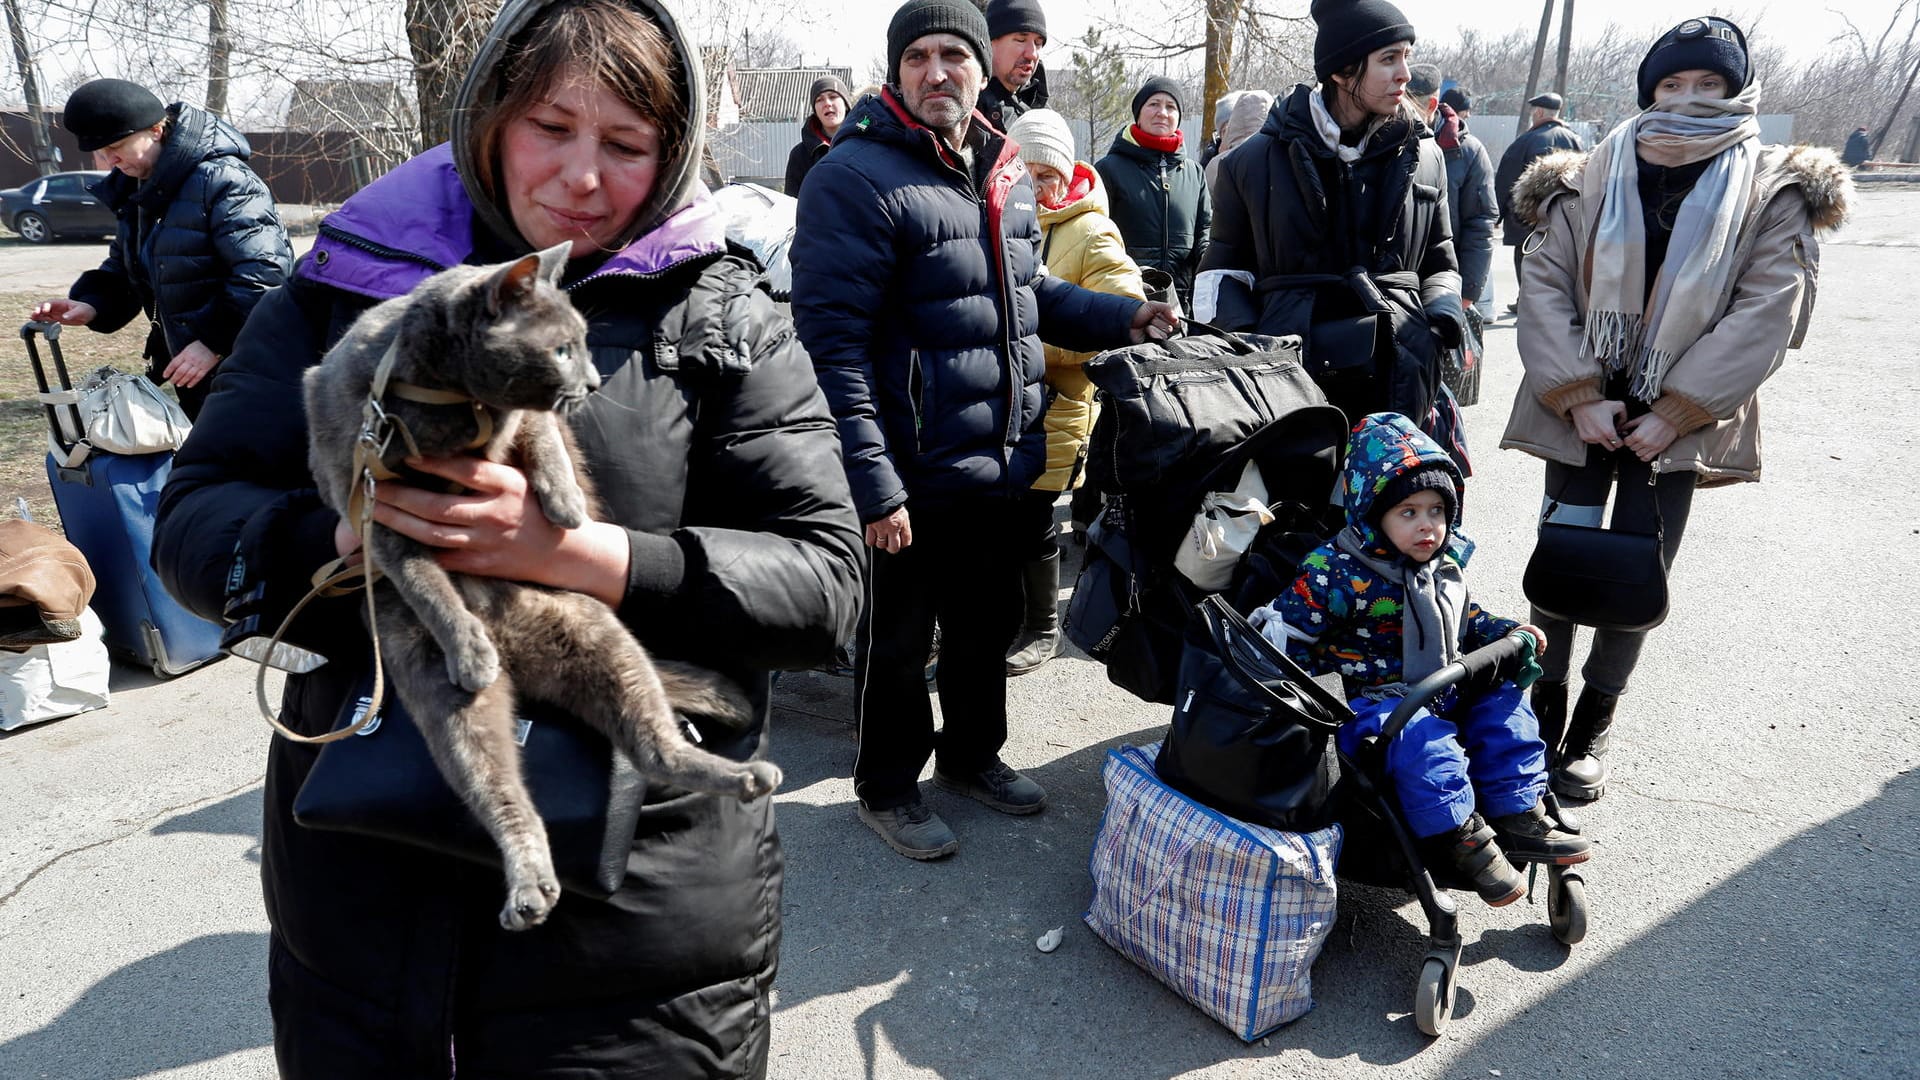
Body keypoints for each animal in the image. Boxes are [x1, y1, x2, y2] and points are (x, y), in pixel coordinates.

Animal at [303, 242, 783, 926]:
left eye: (583, 344)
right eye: (561, 349)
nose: (593, 383)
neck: (452, 405)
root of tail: (519, 653)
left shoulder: (520, 426)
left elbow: (545, 438)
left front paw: (564, 507)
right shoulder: (375, 506)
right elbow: (424, 581)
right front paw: (466, 641)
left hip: (602, 639)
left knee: (654, 747)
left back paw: (743, 778)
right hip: (441, 691)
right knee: (502, 793)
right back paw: (528, 884)